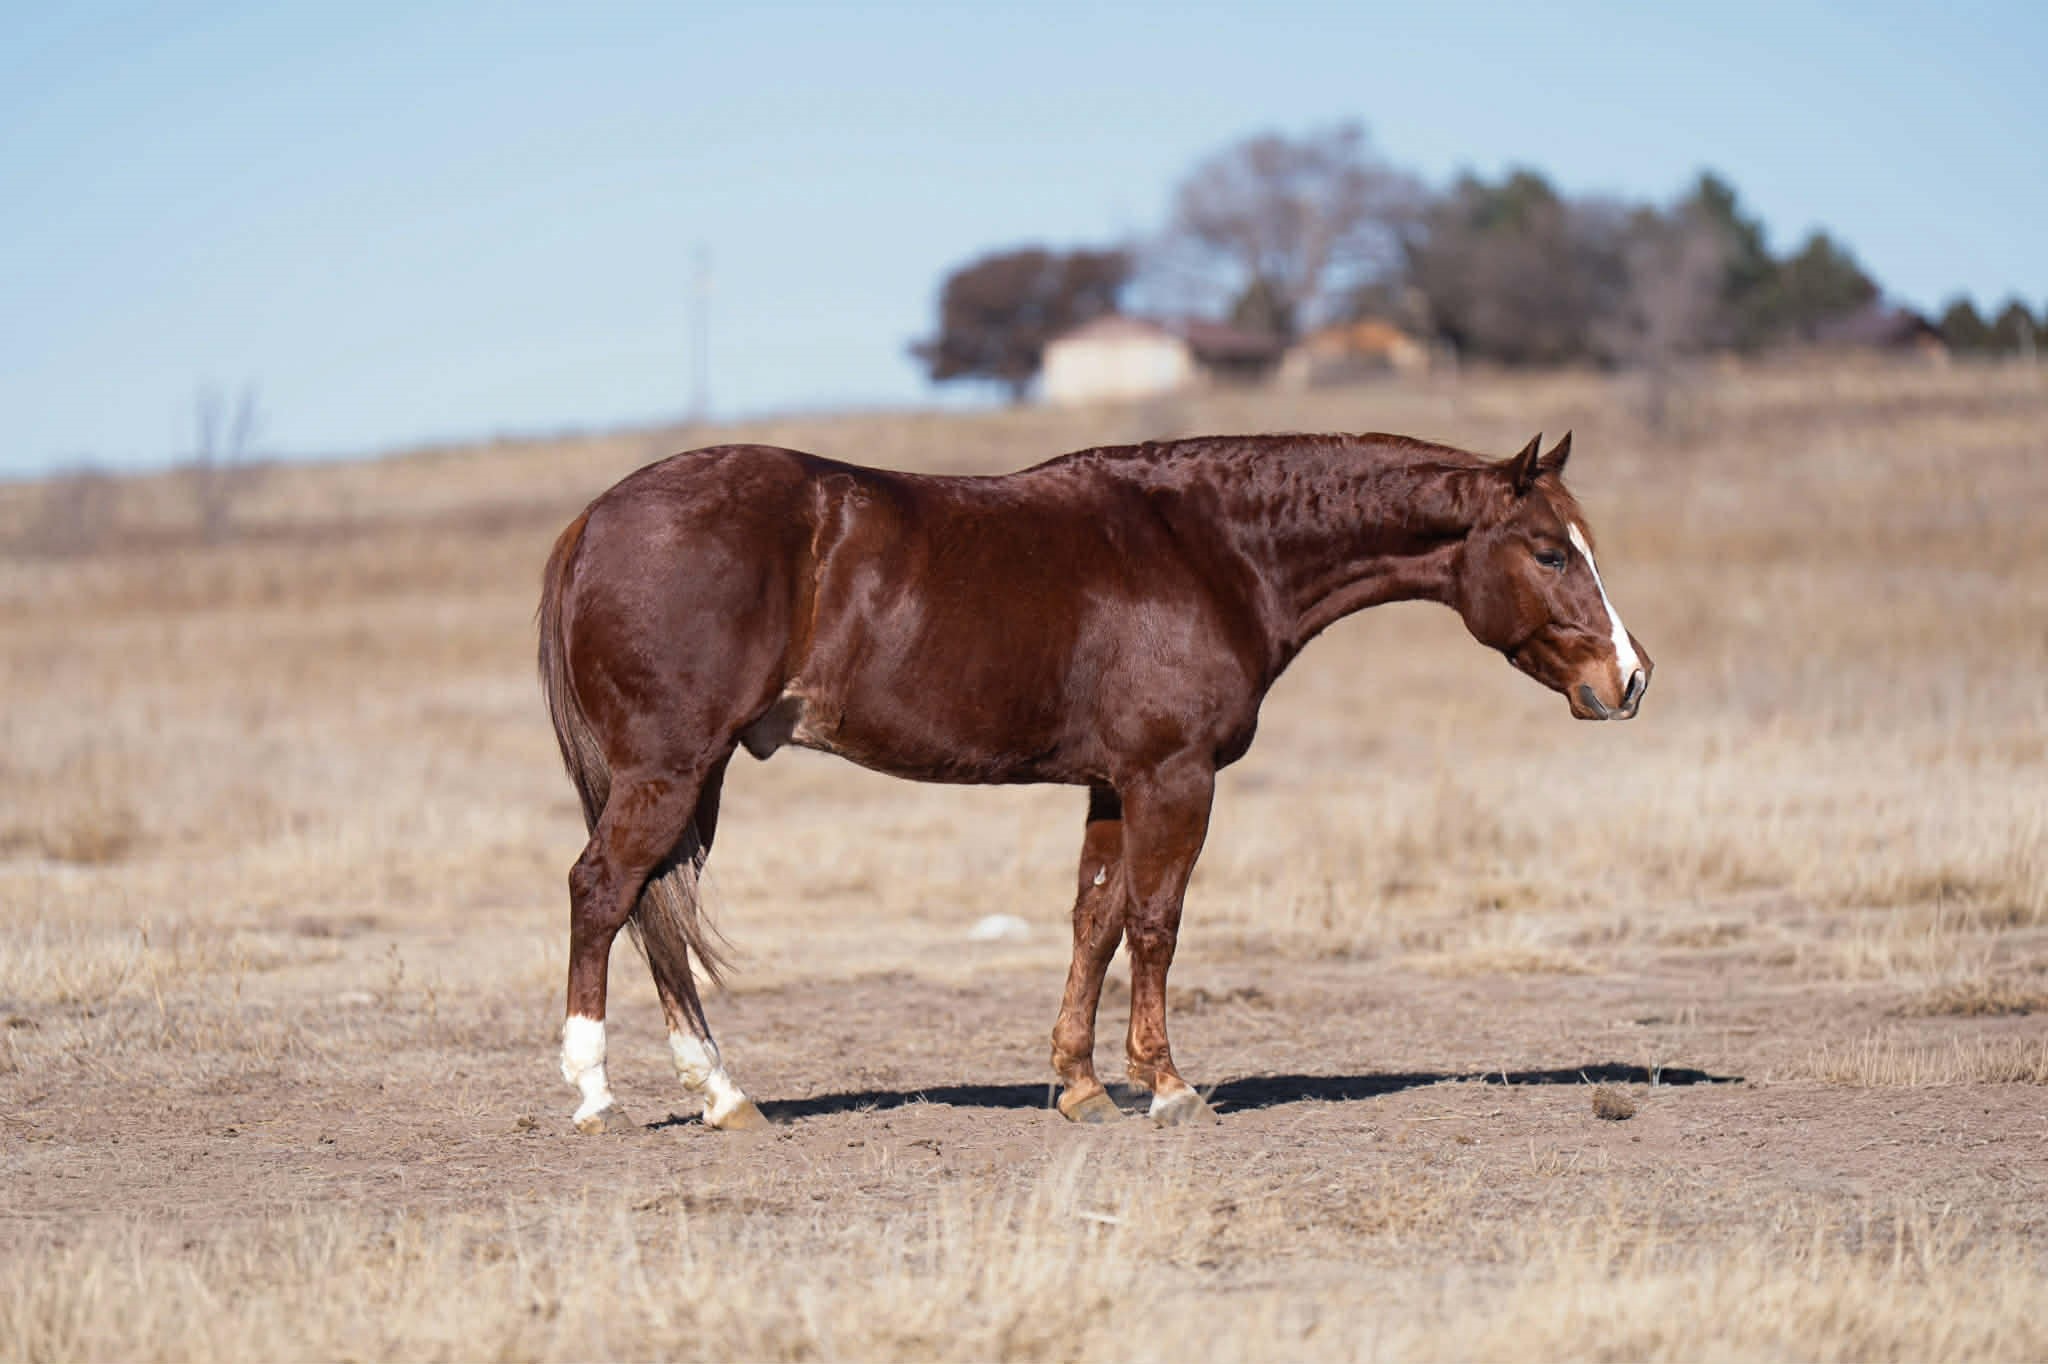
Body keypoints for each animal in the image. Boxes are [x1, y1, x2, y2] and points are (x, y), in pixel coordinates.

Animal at [536, 429, 1650, 1132]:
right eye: (1549, 553)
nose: (1628, 679)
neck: (1210, 549)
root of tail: (590, 519)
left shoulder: (1113, 786)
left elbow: (1095, 920)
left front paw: (1078, 1086)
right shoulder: (1172, 776)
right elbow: (1156, 923)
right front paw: (1165, 1084)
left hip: (694, 776)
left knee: (654, 911)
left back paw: (724, 1095)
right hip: (671, 769)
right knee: (601, 891)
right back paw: (596, 1095)